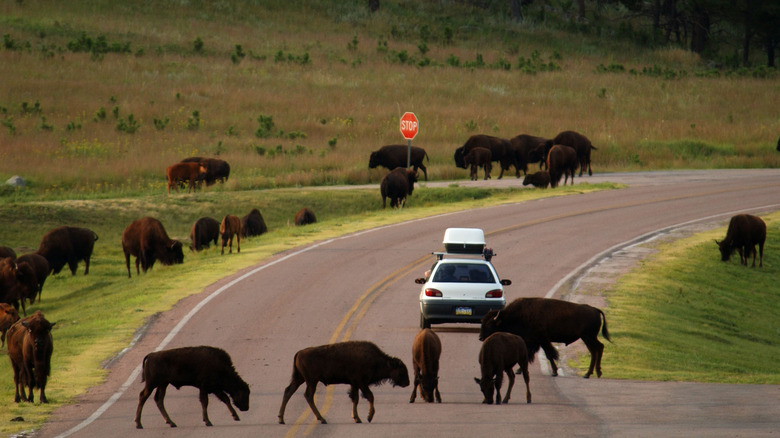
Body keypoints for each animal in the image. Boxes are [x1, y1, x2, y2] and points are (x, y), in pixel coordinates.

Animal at [278, 338, 412, 424]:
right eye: (401, 370)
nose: (407, 383)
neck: (376, 360)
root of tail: (299, 353)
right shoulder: (361, 383)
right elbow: (370, 396)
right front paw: (369, 417)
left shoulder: (355, 384)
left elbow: (355, 399)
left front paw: (357, 418)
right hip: (311, 381)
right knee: (308, 395)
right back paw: (322, 419)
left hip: (300, 379)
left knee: (288, 391)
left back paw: (281, 419)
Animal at [478, 298, 612, 380]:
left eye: (489, 324)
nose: (481, 337)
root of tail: (595, 310)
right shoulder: (536, 341)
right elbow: (533, 354)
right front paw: (519, 370)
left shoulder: (541, 340)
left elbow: (549, 354)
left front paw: (554, 372)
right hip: (589, 338)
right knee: (598, 348)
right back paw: (596, 373)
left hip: (587, 337)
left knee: (595, 350)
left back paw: (588, 374)